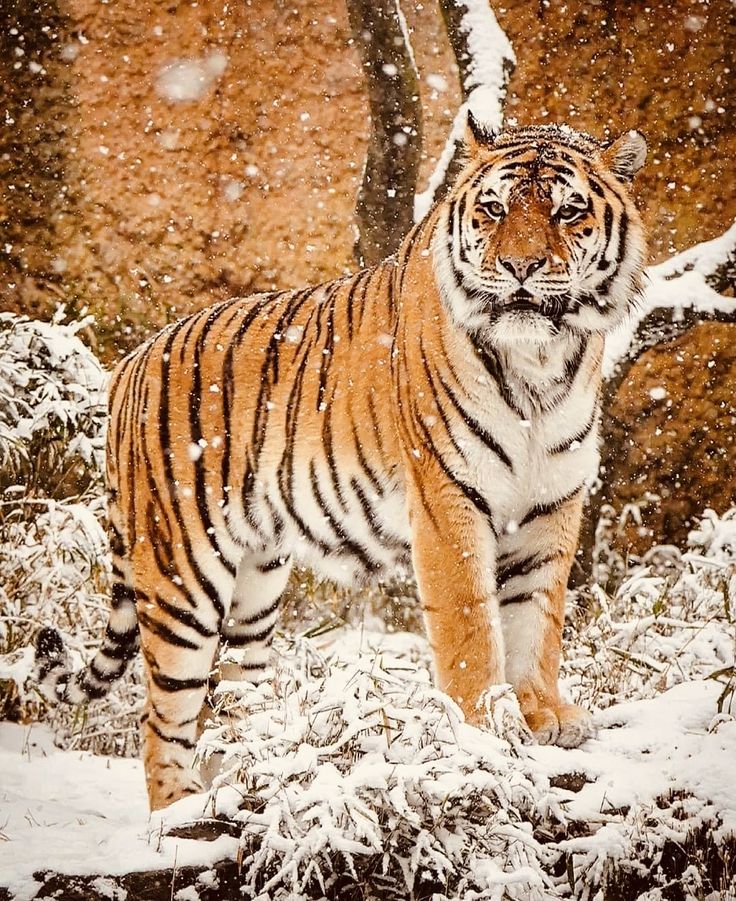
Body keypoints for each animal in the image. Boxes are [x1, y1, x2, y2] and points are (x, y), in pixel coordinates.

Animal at [36, 114, 647, 811]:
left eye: (568, 211)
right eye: (494, 209)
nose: (520, 266)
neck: (541, 362)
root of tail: (128, 365)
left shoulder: (550, 505)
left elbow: (537, 618)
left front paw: (542, 714)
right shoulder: (448, 501)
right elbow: (469, 622)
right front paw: (484, 725)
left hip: (256, 586)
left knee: (228, 695)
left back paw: (252, 771)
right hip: (182, 571)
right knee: (162, 714)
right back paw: (183, 810)